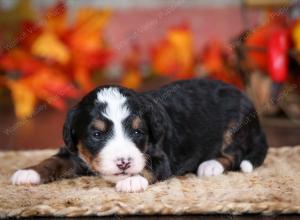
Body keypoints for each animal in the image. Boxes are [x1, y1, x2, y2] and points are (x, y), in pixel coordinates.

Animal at [10, 79, 268, 192]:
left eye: (137, 131)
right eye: (97, 133)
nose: (124, 163)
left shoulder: (161, 156)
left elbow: (148, 167)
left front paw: (131, 179)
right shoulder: (75, 151)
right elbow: (53, 160)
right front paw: (29, 172)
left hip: (234, 128)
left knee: (235, 153)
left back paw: (211, 165)